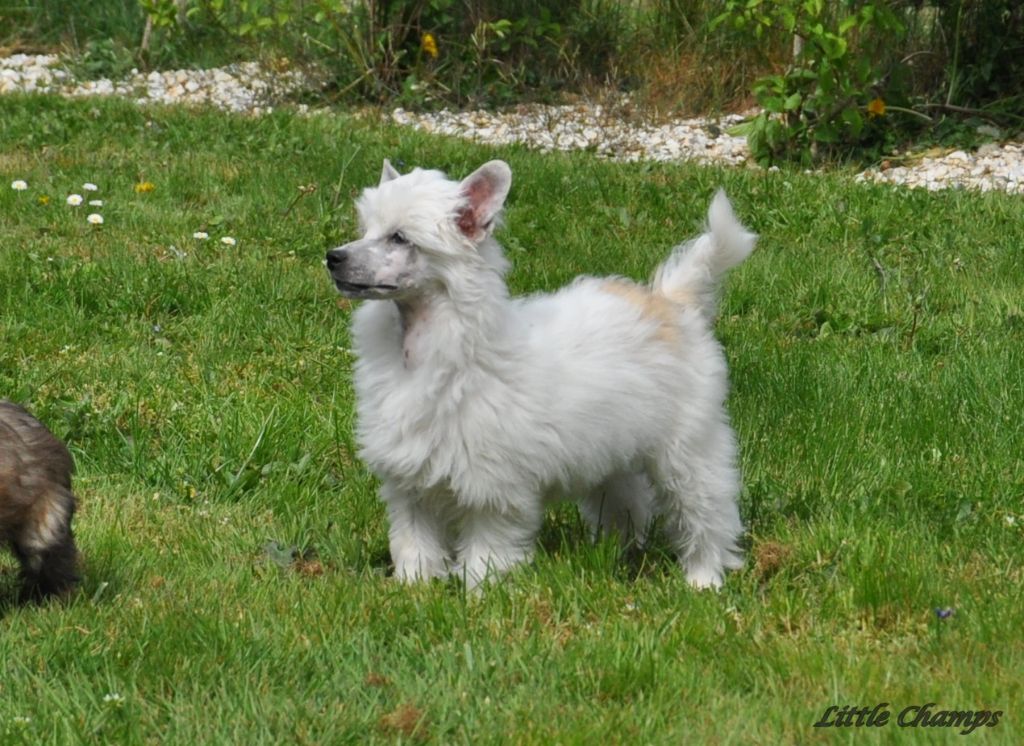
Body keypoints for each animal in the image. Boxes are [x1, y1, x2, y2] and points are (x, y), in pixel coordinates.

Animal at [326, 159, 755, 589]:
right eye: (365, 230)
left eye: (399, 238)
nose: (333, 256)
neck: (428, 345)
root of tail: (670, 302)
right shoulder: (410, 485)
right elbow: (415, 541)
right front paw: (415, 586)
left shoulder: (494, 492)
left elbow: (487, 546)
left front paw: (479, 589)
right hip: (613, 454)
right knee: (626, 502)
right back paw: (616, 554)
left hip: (689, 452)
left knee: (706, 512)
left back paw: (704, 576)